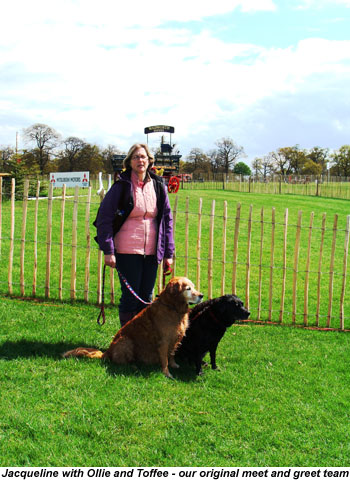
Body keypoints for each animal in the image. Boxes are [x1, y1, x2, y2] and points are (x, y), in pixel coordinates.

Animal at [63, 278, 202, 378]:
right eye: (188, 288)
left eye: (194, 286)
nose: (201, 295)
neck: (172, 308)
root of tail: (107, 352)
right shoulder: (164, 341)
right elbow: (165, 359)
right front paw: (167, 373)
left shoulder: (175, 338)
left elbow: (171, 354)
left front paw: (174, 365)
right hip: (125, 341)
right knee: (121, 362)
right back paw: (133, 367)